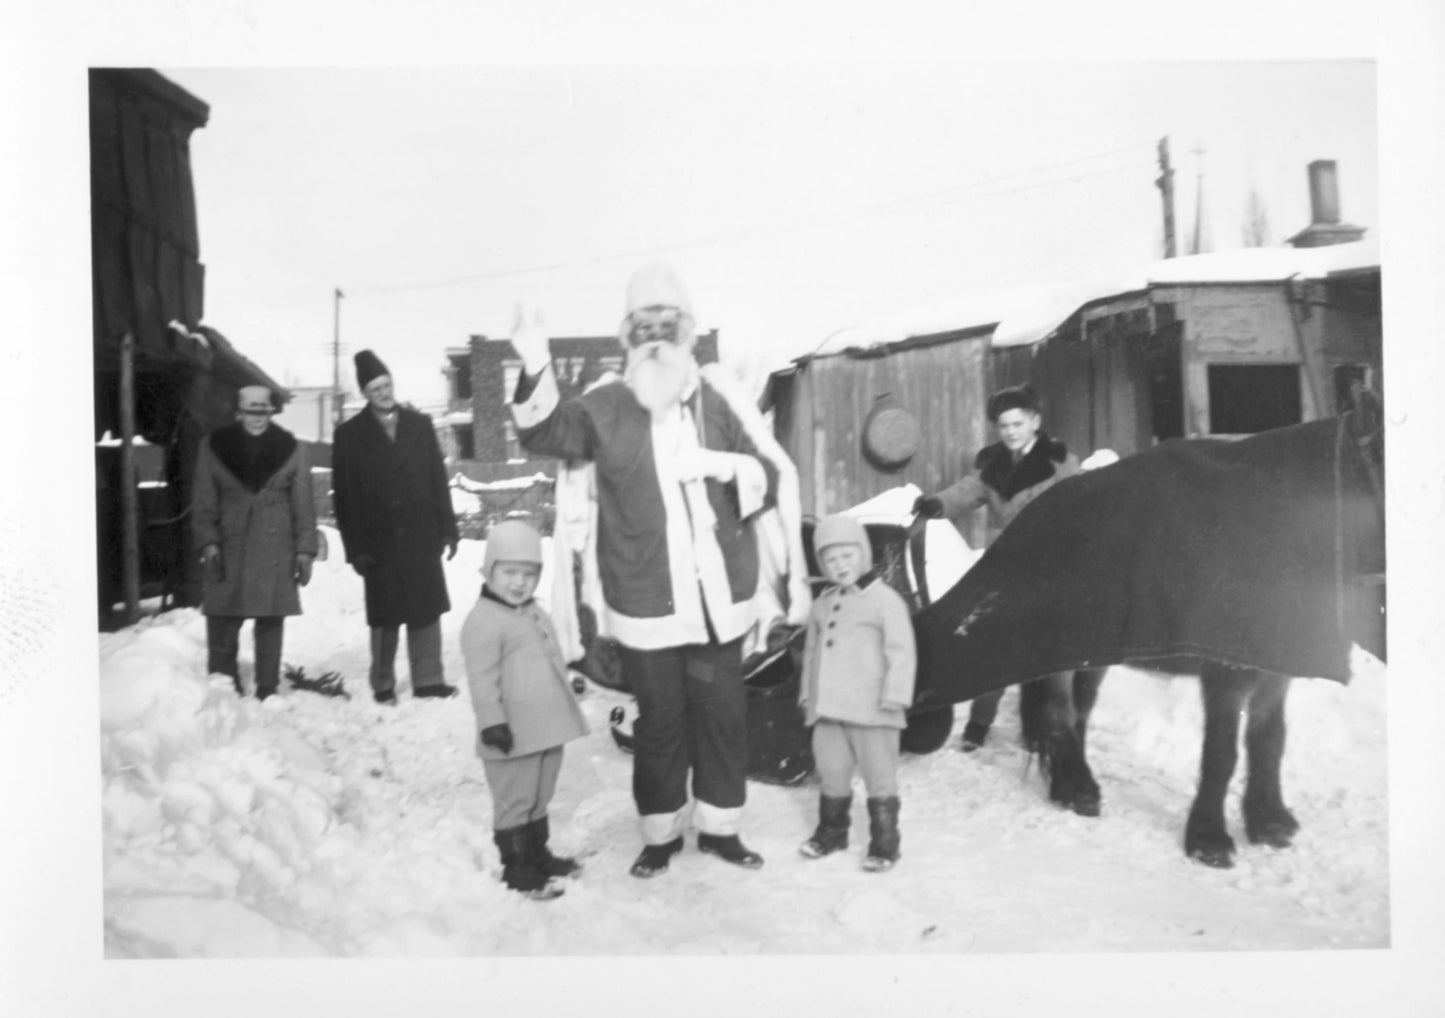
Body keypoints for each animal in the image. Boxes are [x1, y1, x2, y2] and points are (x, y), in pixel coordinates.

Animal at [919, 390, 1381, 867]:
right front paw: (1208, 839)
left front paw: (1268, 821)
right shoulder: (1225, 673)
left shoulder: (1275, 668)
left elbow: (1268, 739)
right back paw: (1076, 788)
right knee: (1060, 712)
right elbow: (1222, 752)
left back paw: (1072, 785)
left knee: (1078, 711)